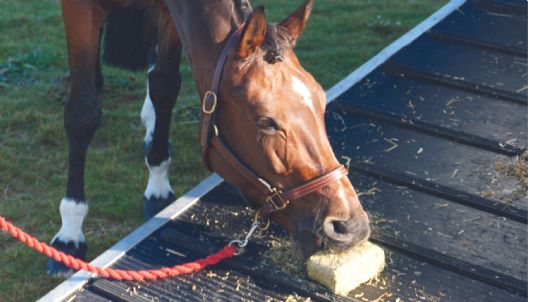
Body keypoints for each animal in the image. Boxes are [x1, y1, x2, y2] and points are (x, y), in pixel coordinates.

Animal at [49, 0, 368, 276]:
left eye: (321, 101)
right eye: (266, 122)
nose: (349, 227)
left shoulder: (170, 14)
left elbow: (164, 85)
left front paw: (158, 182)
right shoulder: (79, 8)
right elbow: (82, 112)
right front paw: (70, 231)